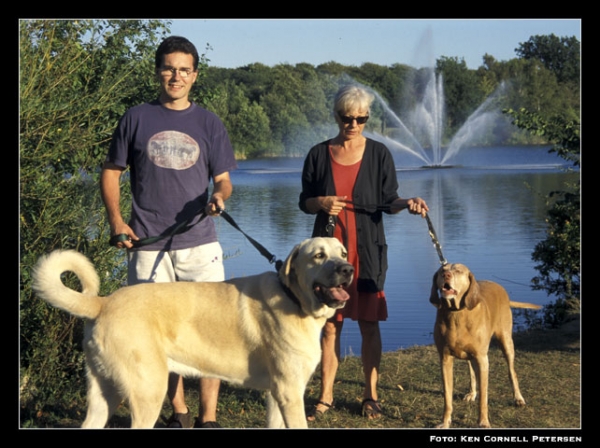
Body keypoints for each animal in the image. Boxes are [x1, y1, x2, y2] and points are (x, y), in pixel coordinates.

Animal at [32, 236, 354, 428]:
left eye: (342, 252)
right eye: (319, 255)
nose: (348, 269)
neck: (294, 298)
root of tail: (104, 302)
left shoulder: (277, 395)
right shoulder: (289, 393)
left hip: (103, 392)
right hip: (148, 392)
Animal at [428, 264, 540, 428]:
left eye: (458, 271)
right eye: (442, 270)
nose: (446, 275)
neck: (457, 314)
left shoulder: (482, 359)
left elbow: (484, 398)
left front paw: (483, 422)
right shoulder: (445, 359)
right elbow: (447, 398)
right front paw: (445, 422)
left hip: (506, 341)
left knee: (512, 371)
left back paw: (518, 398)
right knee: (472, 371)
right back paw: (472, 393)